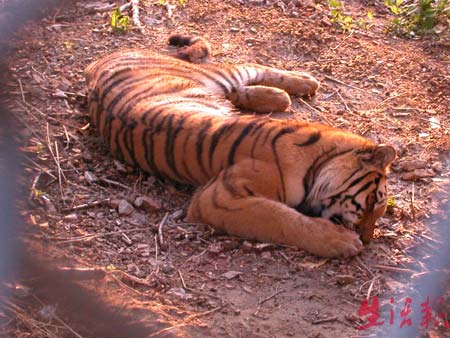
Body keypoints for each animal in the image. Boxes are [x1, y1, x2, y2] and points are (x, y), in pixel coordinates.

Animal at [83, 34, 394, 258]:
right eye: (371, 203)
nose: (367, 240)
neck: (319, 162)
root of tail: (97, 63)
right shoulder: (219, 198)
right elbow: (281, 218)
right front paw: (340, 241)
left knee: (240, 86)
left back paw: (284, 93)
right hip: (217, 75)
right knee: (248, 68)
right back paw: (303, 82)